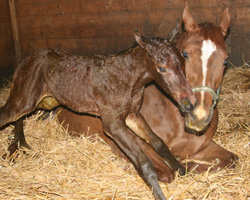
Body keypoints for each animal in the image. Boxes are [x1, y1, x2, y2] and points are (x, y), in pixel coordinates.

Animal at [0, 31, 195, 200]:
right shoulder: (112, 124)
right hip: (26, 100)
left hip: (47, 100)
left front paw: (183, 171)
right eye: (161, 68)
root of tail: (26, 60)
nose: (190, 103)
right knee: (8, 113)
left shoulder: (132, 116)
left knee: (19, 117)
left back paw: (20, 143)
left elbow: (159, 143)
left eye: (183, 61)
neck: (127, 79)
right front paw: (160, 195)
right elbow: (144, 163)